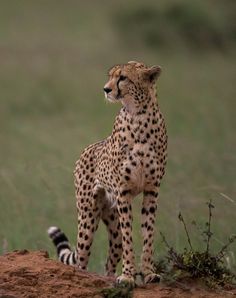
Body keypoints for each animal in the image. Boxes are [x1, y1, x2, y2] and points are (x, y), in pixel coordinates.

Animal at [48, 60, 168, 286]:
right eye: (111, 76)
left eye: (123, 78)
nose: (106, 89)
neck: (138, 114)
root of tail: (87, 148)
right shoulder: (123, 191)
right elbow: (129, 235)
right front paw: (128, 276)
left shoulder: (152, 189)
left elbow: (148, 233)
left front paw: (148, 273)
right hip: (88, 215)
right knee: (82, 258)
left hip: (112, 219)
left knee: (111, 259)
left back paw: (110, 277)